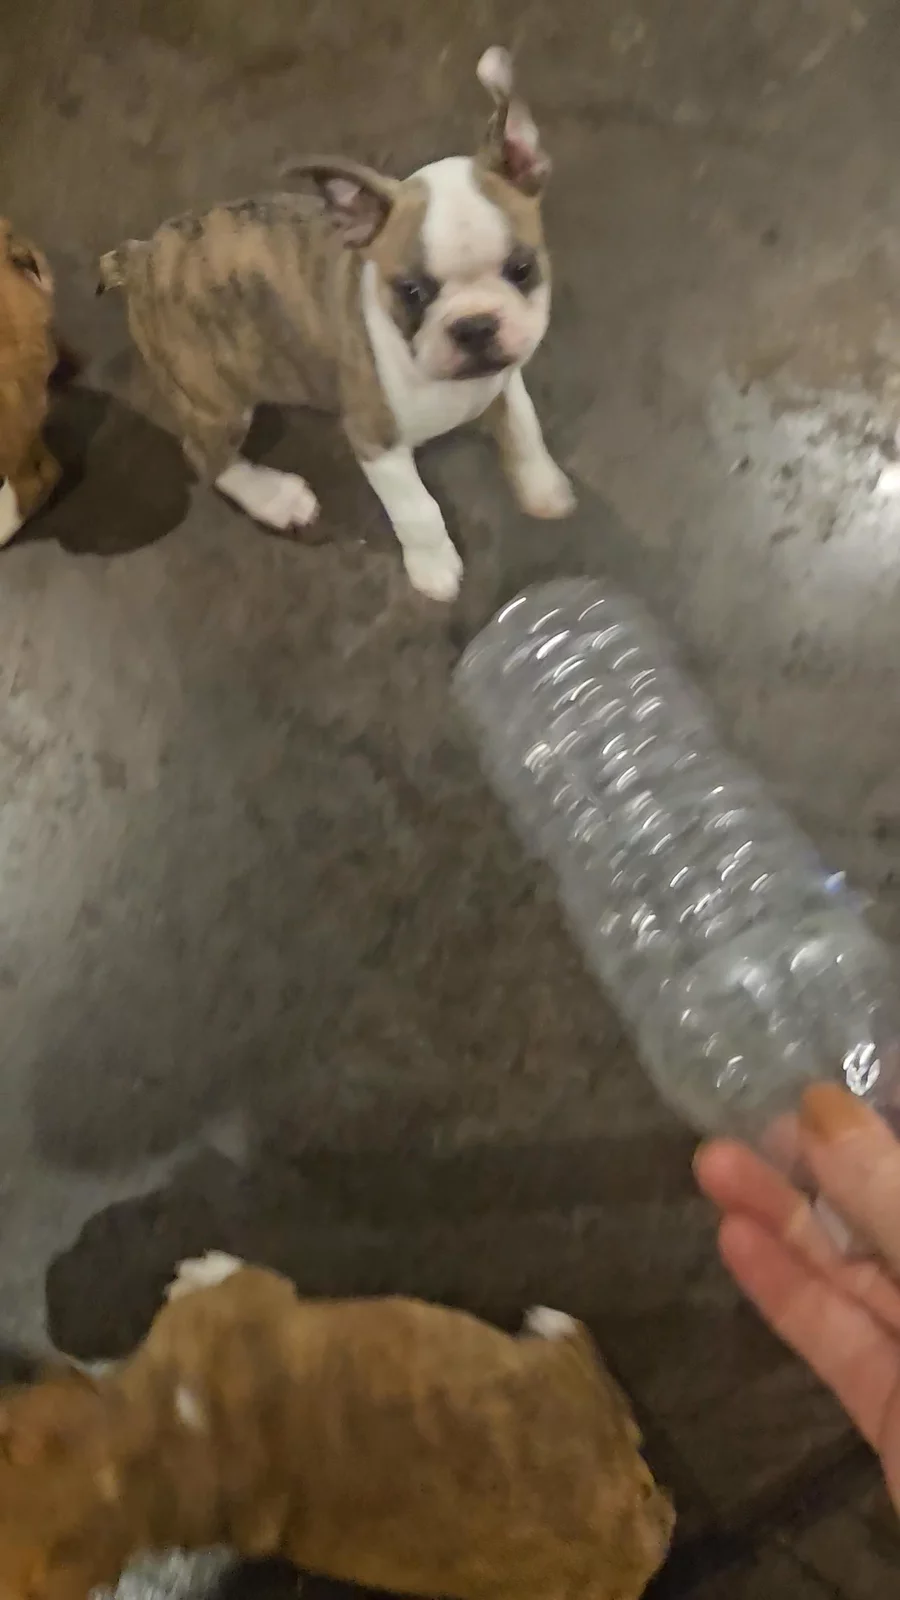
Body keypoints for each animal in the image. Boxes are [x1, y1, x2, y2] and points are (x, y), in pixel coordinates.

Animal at [95, 48, 575, 602]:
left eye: (522, 269)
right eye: (411, 292)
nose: (474, 326)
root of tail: (141, 257)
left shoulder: (504, 376)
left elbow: (524, 427)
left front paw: (542, 486)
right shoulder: (376, 442)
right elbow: (418, 509)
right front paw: (433, 566)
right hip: (216, 401)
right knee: (205, 456)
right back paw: (274, 497)